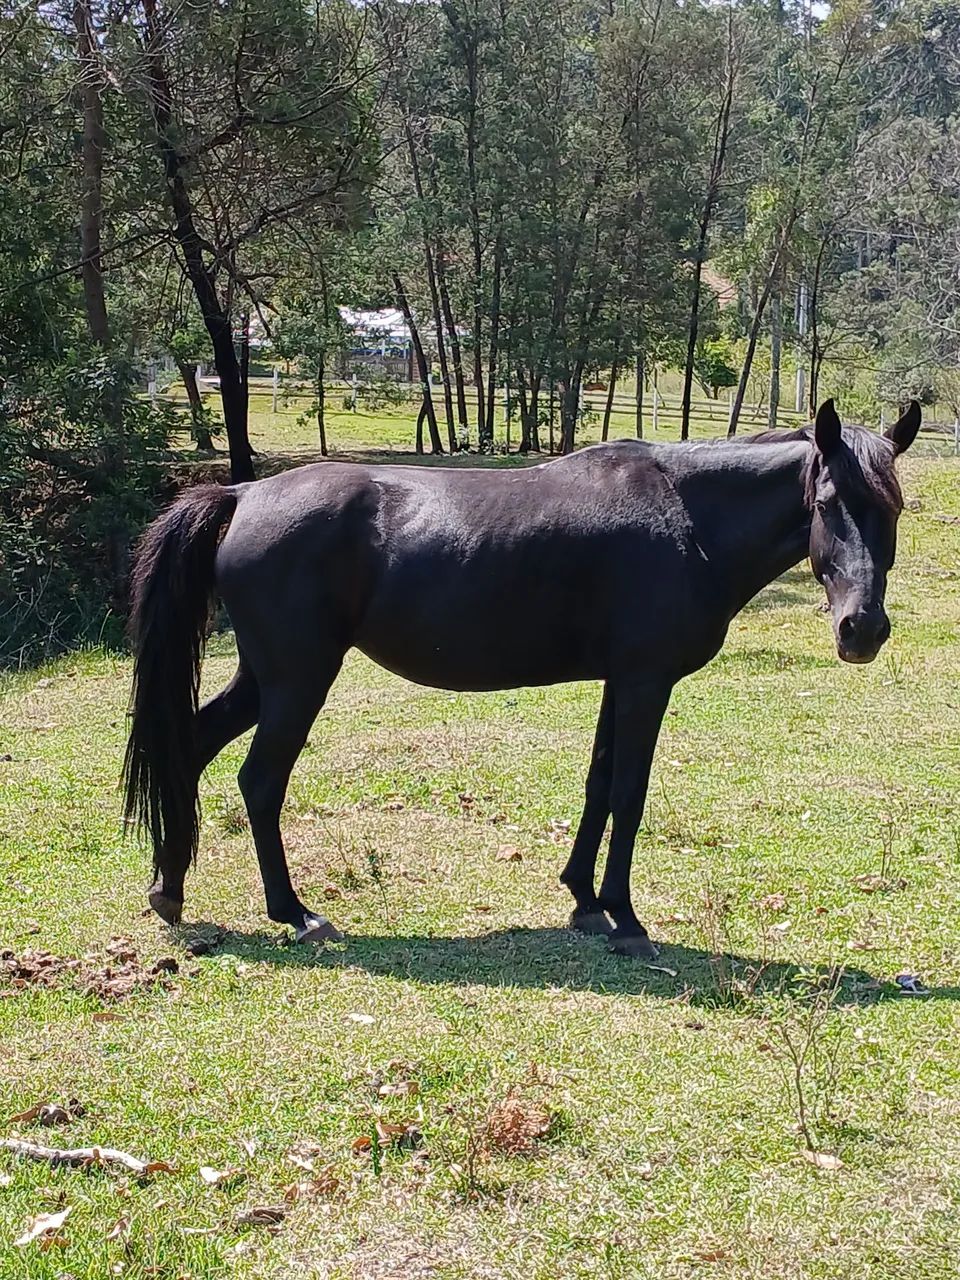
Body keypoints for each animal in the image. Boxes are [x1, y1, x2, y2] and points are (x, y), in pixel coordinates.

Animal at [123, 399, 921, 958]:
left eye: (893, 508)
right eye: (827, 505)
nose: (862, 629)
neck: (687, 517)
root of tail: (242, 495)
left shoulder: (620, 683)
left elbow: (599, 786)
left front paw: (584, 901)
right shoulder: (646, 682)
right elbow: (628, 795)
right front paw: (626, 917)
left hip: (265, 679)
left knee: (190, 747)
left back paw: (170, 888)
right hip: (298, 681)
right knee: (259, 781)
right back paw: (294, 913)